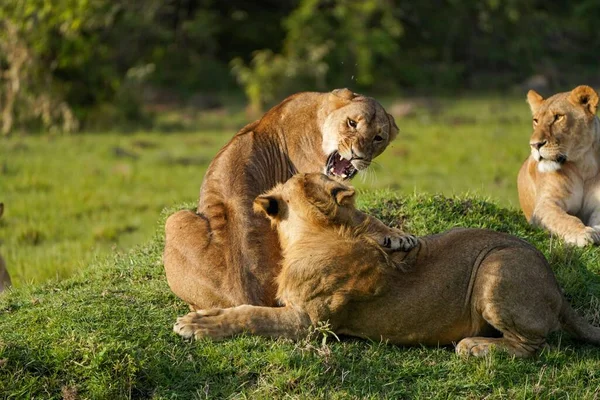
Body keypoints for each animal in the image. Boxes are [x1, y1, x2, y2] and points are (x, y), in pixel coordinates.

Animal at [163, 88, 412, 316]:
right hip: (174, 218)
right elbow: (361, 216)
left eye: (378, 138)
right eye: (352, 123)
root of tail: (244, 297)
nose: (358, 155)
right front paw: (399, 236)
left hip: (175, 219)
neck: (318, 113)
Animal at [173, 173, 600, 358]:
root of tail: (558, 290)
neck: (312, 234)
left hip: (497, 265)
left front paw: (197, 326)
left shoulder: (309, 323)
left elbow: (251, 315)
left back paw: (475, 346)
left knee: (532, 345)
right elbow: (246, 306)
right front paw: (203, 314)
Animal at [516, 85, 600, 247]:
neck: (584, 165)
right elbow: (565, 219)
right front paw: (583, 233)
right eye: (536, 120)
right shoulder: (545, 204)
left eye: (558, 117)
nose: (535, 145)